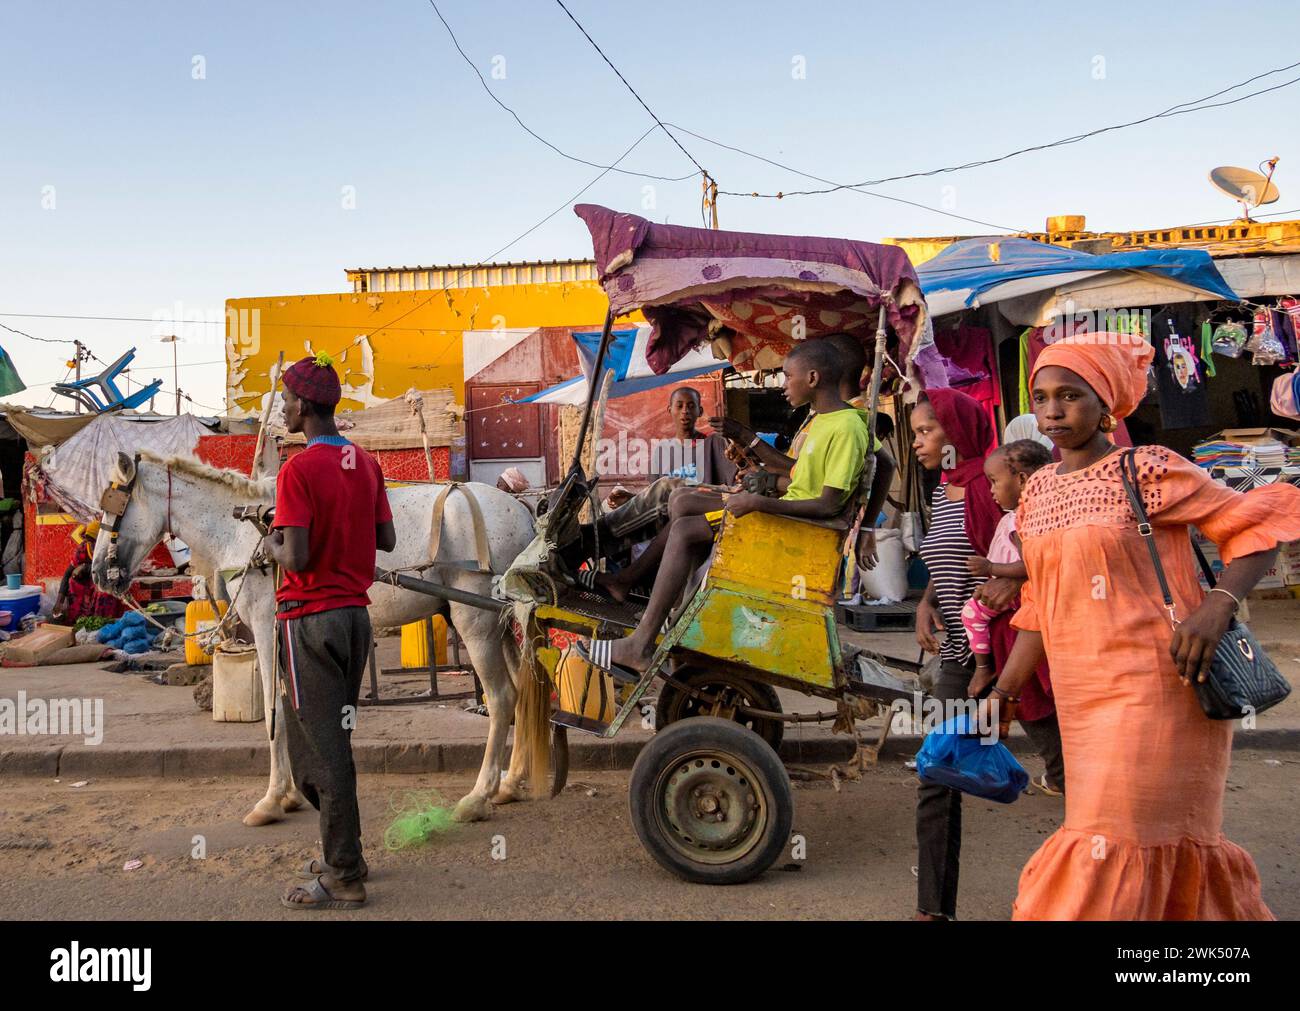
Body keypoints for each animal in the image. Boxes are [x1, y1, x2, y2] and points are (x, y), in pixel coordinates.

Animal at [91, 452, 538, 821]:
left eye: (110, 504)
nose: (96, 574)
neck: (246, 534)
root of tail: (521, 510)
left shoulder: (267, 625)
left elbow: (273, 709)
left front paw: (273, 798)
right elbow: (290, 706)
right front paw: (291, 794)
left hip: (475, 619)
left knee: (501, 698)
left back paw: (479, 796)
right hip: (504, 624)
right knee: (521, 692)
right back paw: (511, 784)